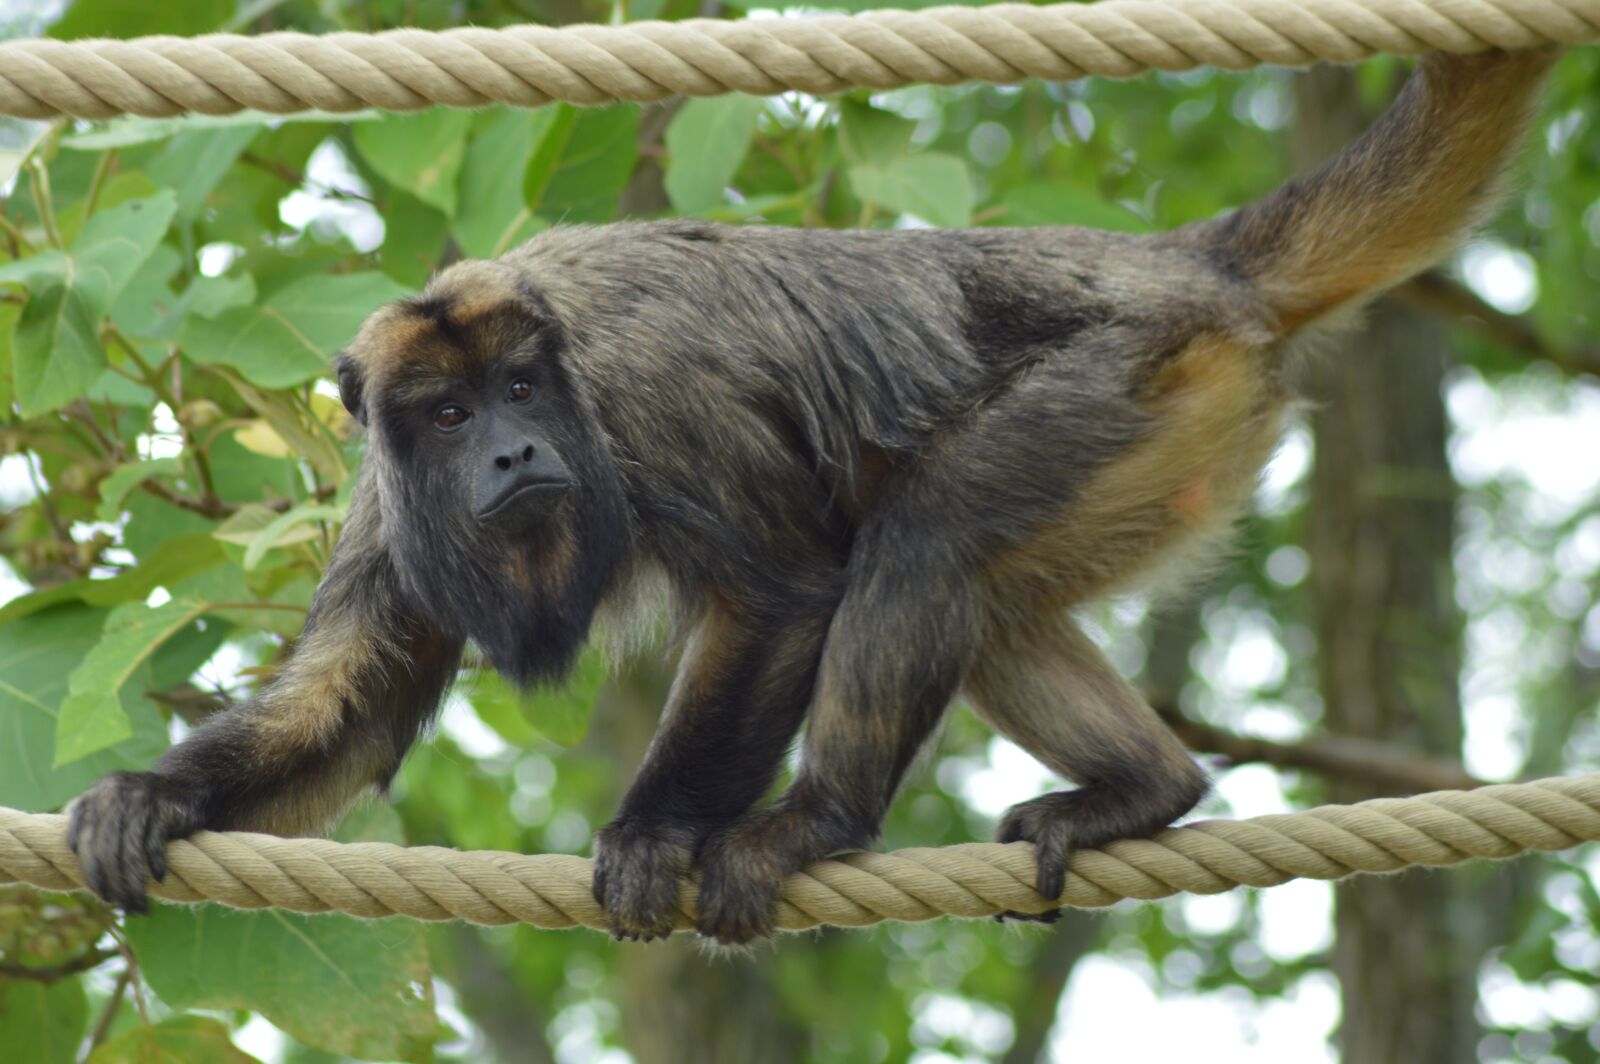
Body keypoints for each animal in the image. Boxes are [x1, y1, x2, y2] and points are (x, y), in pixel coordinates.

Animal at [68, 49, 1557, 944]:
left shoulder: (653, 399)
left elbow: (782, 593)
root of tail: (1188, 266)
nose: (512, 456)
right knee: (986, 595)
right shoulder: (386, 508)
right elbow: (350, 709)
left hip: (1131, 379)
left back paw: (812, 823)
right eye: (447, 414)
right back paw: (1145, 788)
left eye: (521, 392)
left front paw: (657, 831)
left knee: (923, 541)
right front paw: (152, 795)